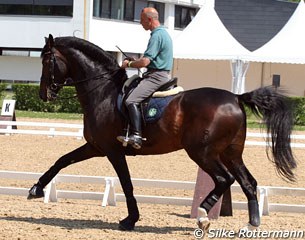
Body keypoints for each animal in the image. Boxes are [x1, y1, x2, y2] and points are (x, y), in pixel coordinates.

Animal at [27, 34, 294, 232]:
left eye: (46, 61)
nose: (43, 94)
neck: (102, 91)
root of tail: (236, 97)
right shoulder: (95, 147)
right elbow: (61, 160)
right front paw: (36, 189)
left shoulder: (113, 151)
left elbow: (126, 183)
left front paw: (130, 220)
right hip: (230, 153)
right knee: (248, 182)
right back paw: (251, 224)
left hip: (203, 152)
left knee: (224, 179)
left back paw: (203, 215)